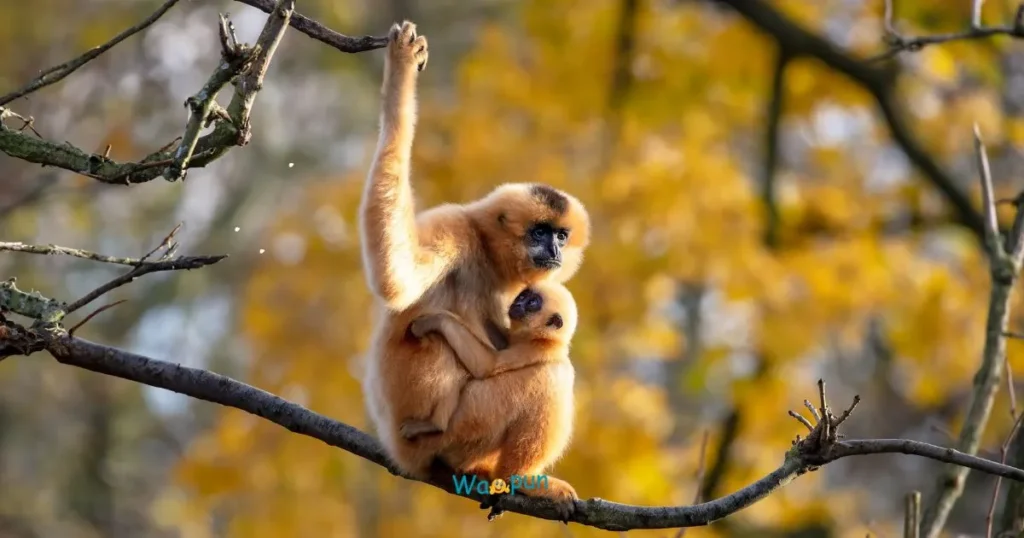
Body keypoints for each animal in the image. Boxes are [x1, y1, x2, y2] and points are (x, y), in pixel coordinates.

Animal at [397, 280, 578, 440]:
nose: (518, 303)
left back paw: (435, 425)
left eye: (532, 303)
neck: (542, 337)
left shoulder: (533, 348)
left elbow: (487, 366)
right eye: (523, 296)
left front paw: (435, 320)